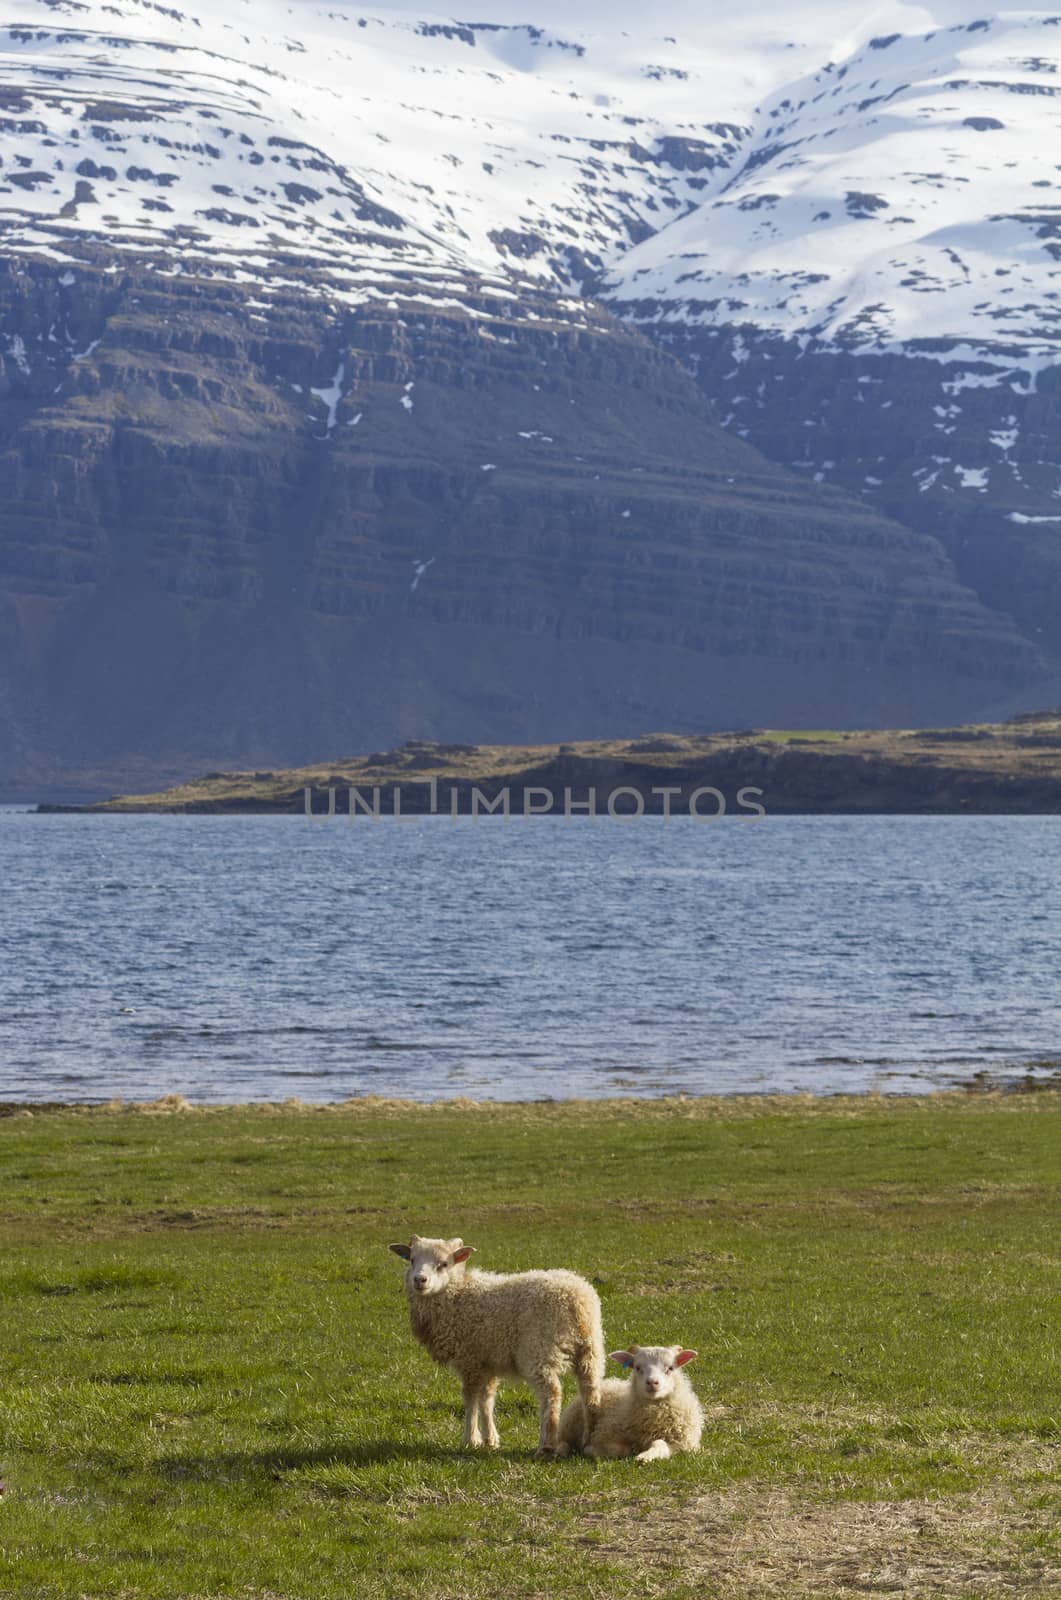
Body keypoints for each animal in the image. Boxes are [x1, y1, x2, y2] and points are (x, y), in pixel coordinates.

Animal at [390, 1228, 604, 1459]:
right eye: (412, 1260)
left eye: (443, 1264)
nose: (419, 1280)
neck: (457, 1294)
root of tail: (576, 1300)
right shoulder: (489, 1361)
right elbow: (487, 1399)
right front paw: (490, 1440)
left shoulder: (470, 1360)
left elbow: (470, 1398)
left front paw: (470, 1440)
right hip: (590, 1350)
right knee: (590, 1392)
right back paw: (589, 1438)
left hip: (539, 1350)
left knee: (551, 1395)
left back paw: (545, 1446)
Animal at [556, 1337, 704, 1465]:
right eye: (637, 1368)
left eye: (670, 1368)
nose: (652, 1382)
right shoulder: (605, 1434)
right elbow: (621, 1449)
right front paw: (591, 1450)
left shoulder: (683, 1444)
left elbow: (659, 1444)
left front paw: (645, 1456)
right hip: (570, 1423)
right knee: (563, 1440)